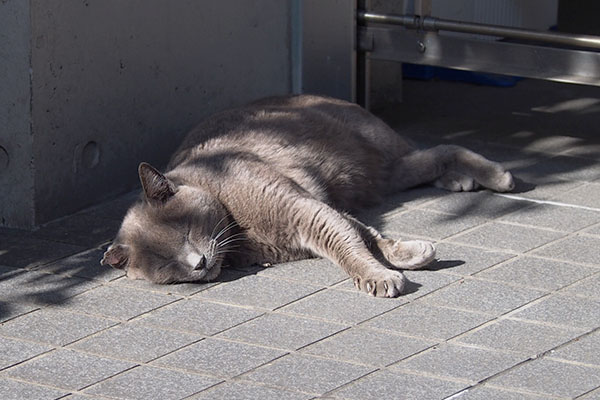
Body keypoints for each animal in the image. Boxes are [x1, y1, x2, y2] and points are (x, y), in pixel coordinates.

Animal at [101, 94, 512, 296]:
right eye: (167, 265)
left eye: (185, 230)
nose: (199, 263)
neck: (239, 234)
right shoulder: (318, 211)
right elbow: (364, 236)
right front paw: (402, 260)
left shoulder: (305, 208)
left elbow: (354, 242)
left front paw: (385, 272)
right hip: (381, 176)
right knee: (430, 161)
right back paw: (460, 182)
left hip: (379, 153)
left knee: (442, 148)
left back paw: (498, 176)